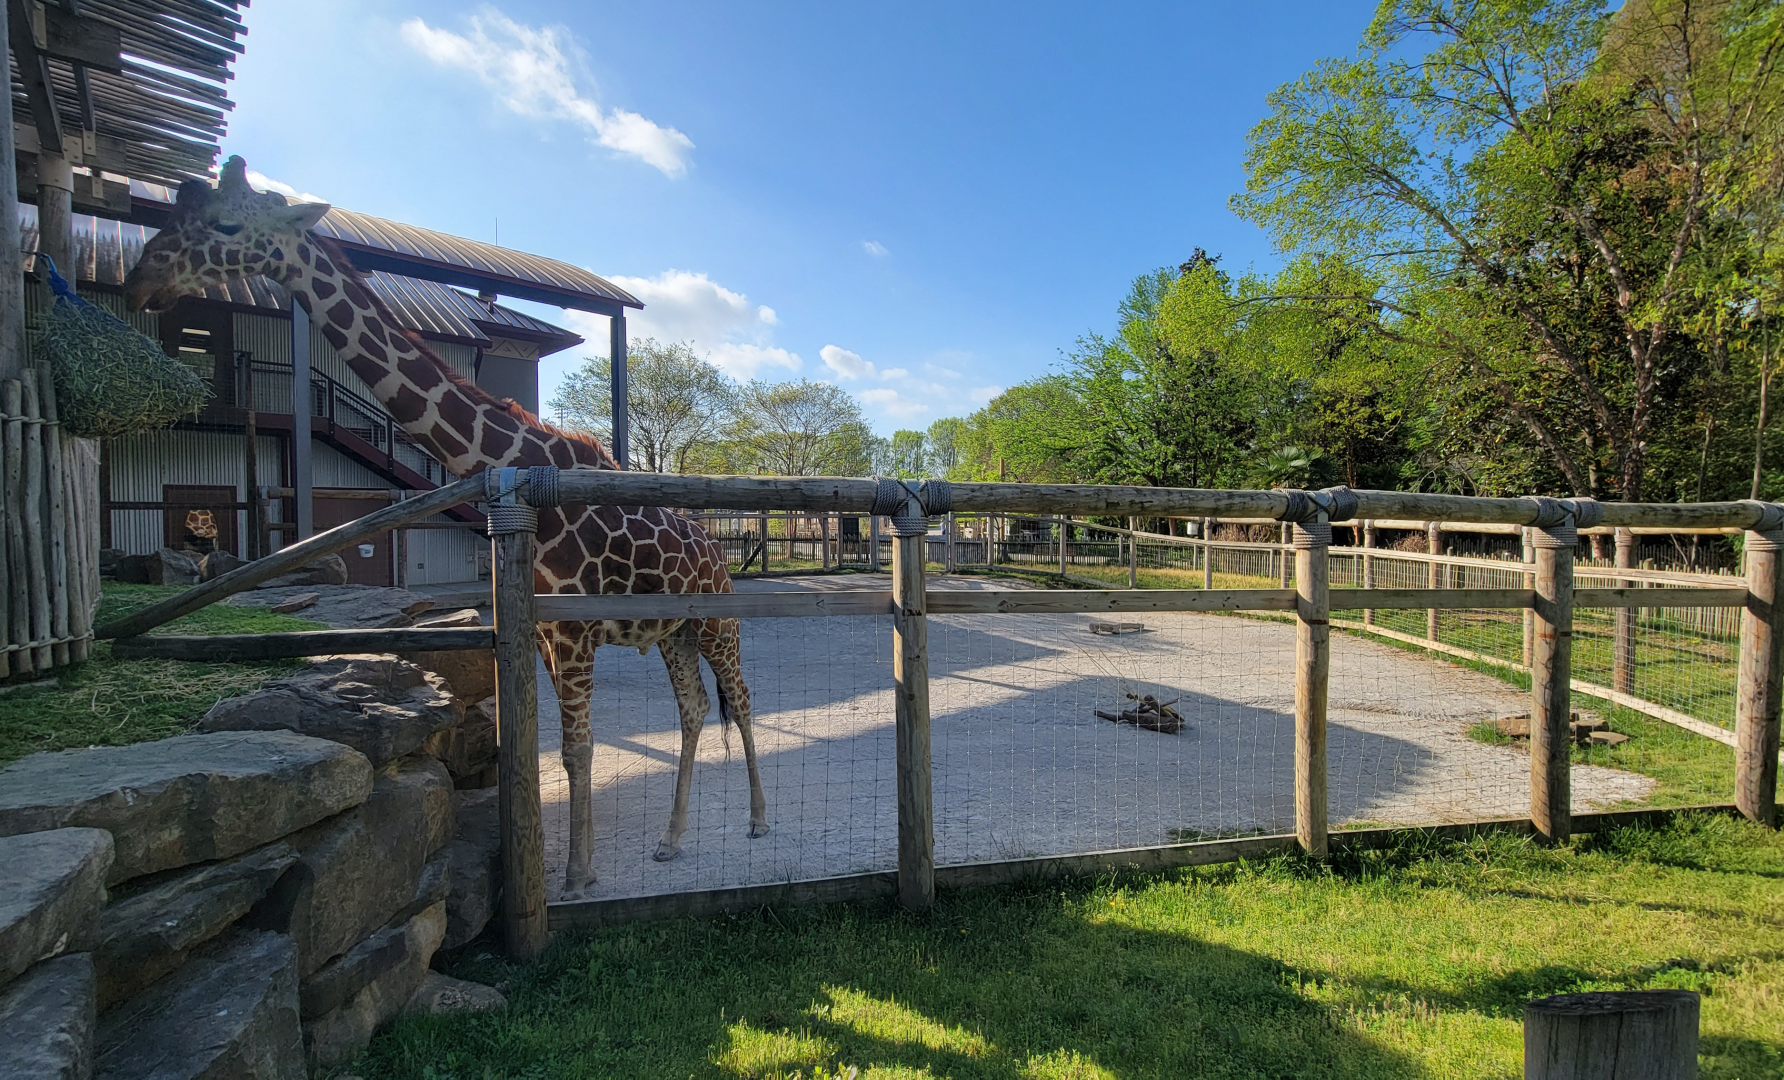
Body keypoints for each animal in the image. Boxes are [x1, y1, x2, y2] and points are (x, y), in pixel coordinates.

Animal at [123, 157, 768, 897]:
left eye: (227, 224)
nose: (141, 280)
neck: (513, 463)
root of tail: (721, 555)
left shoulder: (573, 633)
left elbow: (579, 747)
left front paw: (576, 873)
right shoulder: (543, 632)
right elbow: (559, 746)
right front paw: (569, 867)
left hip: (717, 624)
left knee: (742, 699)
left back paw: (758, 820)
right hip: (673, 633)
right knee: (694, 709)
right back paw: (670, 839)